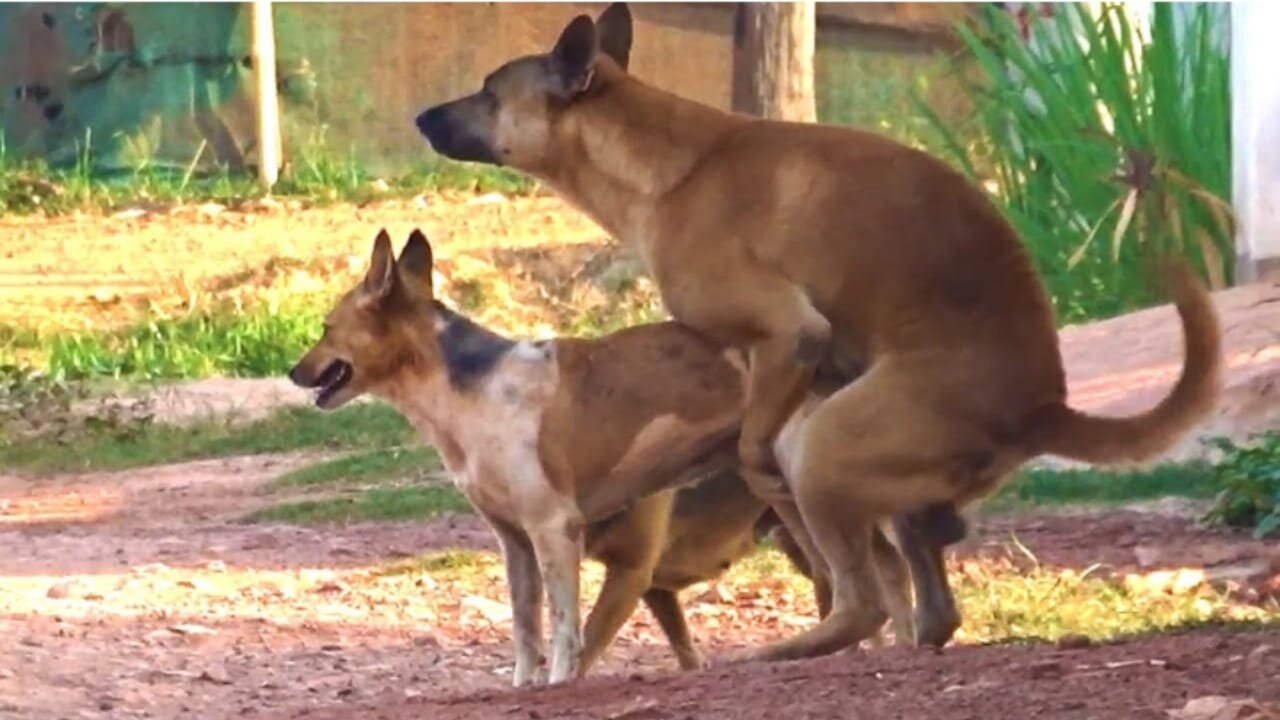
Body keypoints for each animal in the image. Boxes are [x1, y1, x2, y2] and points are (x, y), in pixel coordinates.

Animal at [288, 228, 921, 681]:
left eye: (324, 327)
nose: (293, 371)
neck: (466, 388)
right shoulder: (514, 543)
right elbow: (526, 633)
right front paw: (523, 689)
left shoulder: (553, 530)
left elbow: (569, 634)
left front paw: (558, 686)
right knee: (888, 569)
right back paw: (907, 649)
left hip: (797, 488)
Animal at [414, 1, 1223, 661]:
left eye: (490, 92)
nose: (421, 117)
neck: (667, 168)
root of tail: (1045, 406)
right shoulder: (802, 367)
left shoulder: (790, 337)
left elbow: (754, 447)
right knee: (930, 608)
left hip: (823, 447)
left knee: (862, 602)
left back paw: (789, 647)